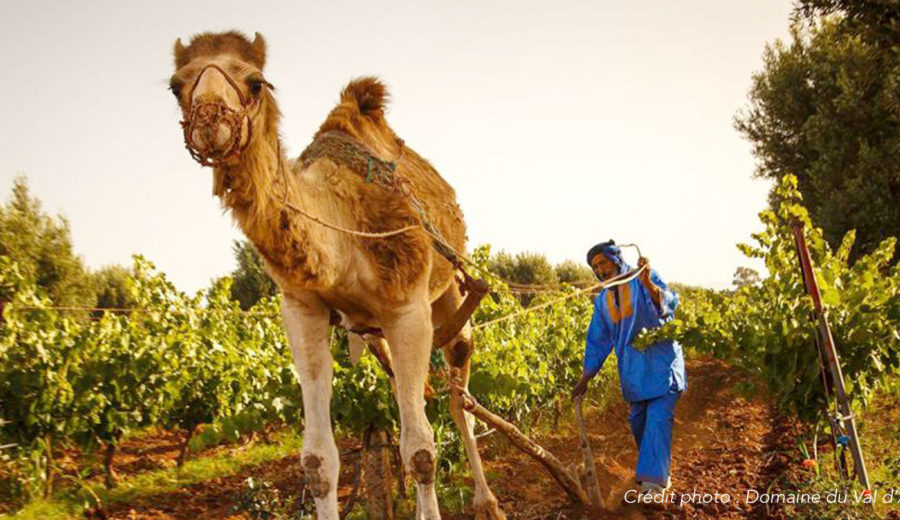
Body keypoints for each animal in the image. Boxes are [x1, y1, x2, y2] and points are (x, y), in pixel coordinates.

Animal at [169, 32, 506, 520]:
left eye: (255, 82)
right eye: (176, 86)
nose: (209, 120)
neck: (341, 229)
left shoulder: (408, 306)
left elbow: (421, 451)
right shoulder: (303, 309)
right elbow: (318, 460)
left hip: (445, 288)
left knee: (458, 388)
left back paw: (487, 502)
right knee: (414, 396)